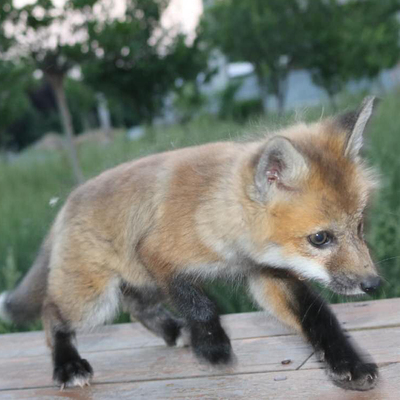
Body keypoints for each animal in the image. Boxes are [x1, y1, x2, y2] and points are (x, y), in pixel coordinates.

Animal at [0, 97, 382, 390]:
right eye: (320, 238)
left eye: (359, 227)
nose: (374, 284)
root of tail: (67, 203)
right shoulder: (159, 255)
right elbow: (200, 304)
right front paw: (213, 348)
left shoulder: (270, 274)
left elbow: (319, 320)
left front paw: (348, 363)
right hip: (94, 298)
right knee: (52, 314)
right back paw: (68, 365)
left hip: (142, 281)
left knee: (137, 307)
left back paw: (174, 331)